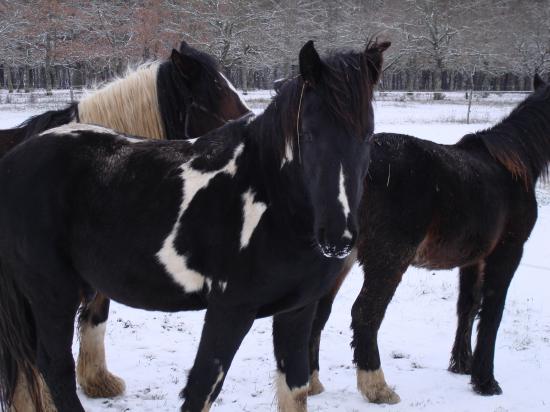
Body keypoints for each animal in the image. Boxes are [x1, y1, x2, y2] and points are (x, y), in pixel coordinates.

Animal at [306, 74, 550, 402]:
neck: (512, 166)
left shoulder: (473, 259)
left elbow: (468, 306)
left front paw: (462, 365)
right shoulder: (507, 252)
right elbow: (492, 313)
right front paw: (485, 381)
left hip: (340, 257)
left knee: (318, 313)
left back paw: (310, 383)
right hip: (388, 260)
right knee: (365, 314)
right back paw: (377, 387)